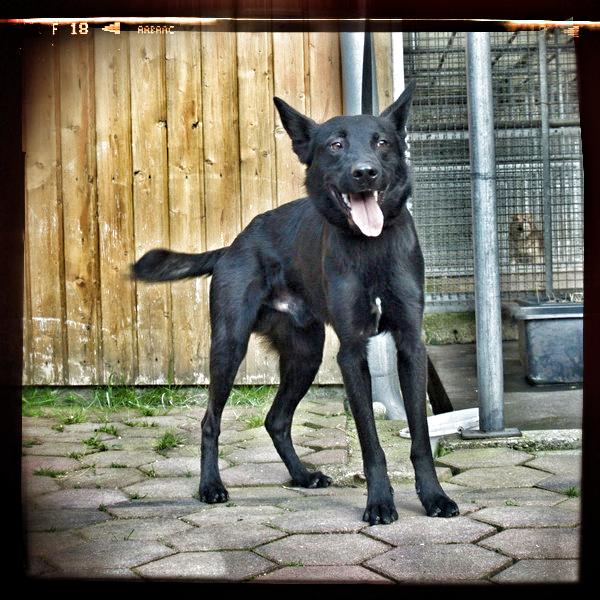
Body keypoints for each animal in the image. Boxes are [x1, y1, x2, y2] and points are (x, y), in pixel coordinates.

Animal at [132, 81, 460, 524]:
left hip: (306, 354)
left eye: (382, 142)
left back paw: (302, 476)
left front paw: (434, 497)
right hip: (229, 348)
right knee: (210, 421)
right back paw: (211, 486)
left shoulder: (410, 345)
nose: (365, 172)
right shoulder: (352, 353)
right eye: (336, 145)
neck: (370, 248)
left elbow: (421, 438)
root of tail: (233, 246)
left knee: (276, 419)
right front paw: (379, 502)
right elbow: (370, 442)